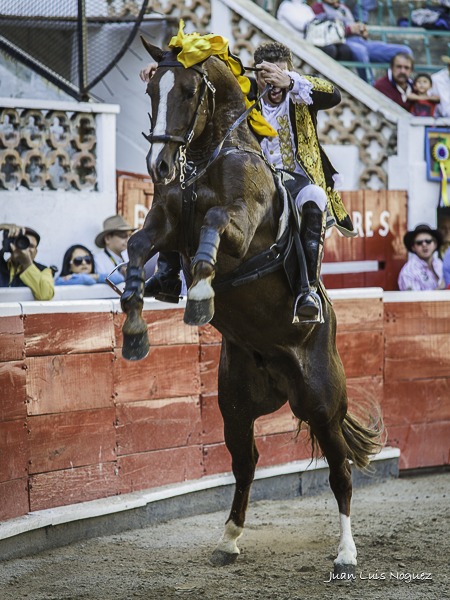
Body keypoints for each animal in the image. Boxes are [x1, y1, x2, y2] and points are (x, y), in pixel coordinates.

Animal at [120, 39, 384, 576]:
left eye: (188, 90)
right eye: (151, 89)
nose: (158, 166)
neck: (210, 157)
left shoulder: (239, 229)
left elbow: (215, 222)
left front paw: (201, 296)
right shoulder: (164, 221)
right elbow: (138, 245)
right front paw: (136, 324)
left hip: (322, 403)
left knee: (340, 470)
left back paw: (346, 554)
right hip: (236, 405)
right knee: (246, 463)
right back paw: (228, 540)